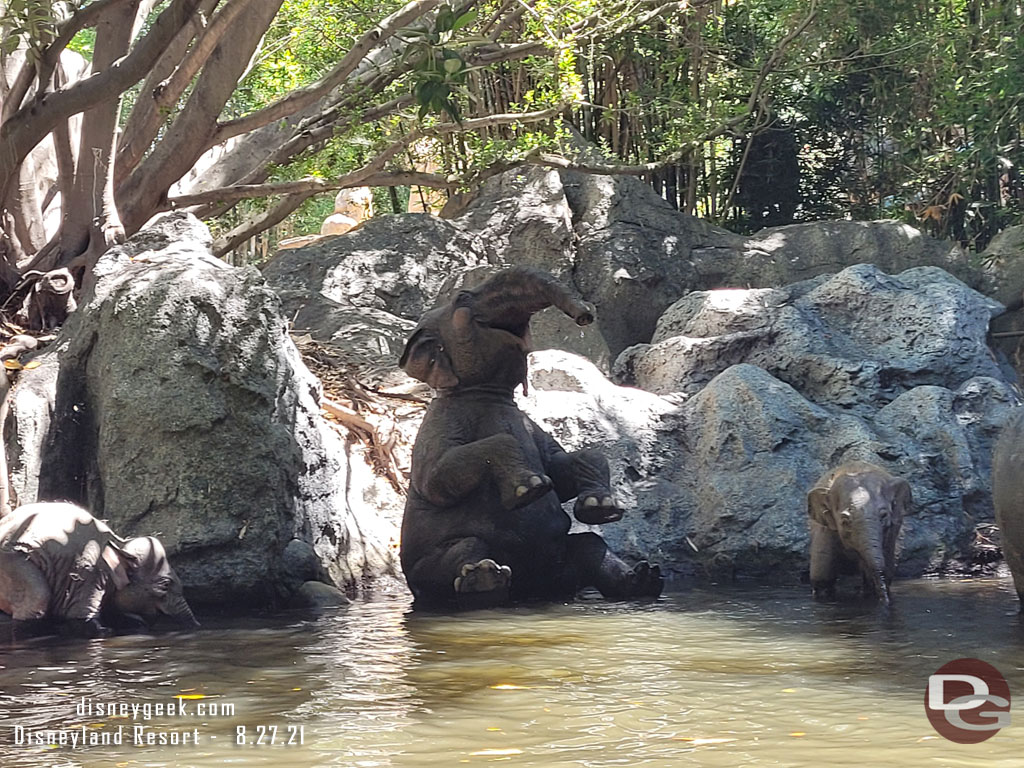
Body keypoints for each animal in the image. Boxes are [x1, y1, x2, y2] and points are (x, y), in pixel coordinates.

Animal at [0, 501, 199, 638]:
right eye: (165, 585)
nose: (198, 626)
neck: (120, 543)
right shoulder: (89, 572)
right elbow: (82, 618)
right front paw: (107, 631)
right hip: (14, 563)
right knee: (37, 602)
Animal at [395, 268, 667, 610]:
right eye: (463, 298)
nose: (585, 316)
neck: (489, 394)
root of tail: (529, 589)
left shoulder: (532, 427)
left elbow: (565, 472)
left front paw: (600, 508)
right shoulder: (439, 424)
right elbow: (437, 480)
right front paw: (530, 489)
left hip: (561, 564)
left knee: (590, 546)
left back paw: (645, 579)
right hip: (426, 573)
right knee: (466, 548)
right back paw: (484, 579)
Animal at [802, 462, 909, 606]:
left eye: (884, 515)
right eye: (844, 521)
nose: (886, 602)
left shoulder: (892, 531)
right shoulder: (824, 530)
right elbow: (822, 576)